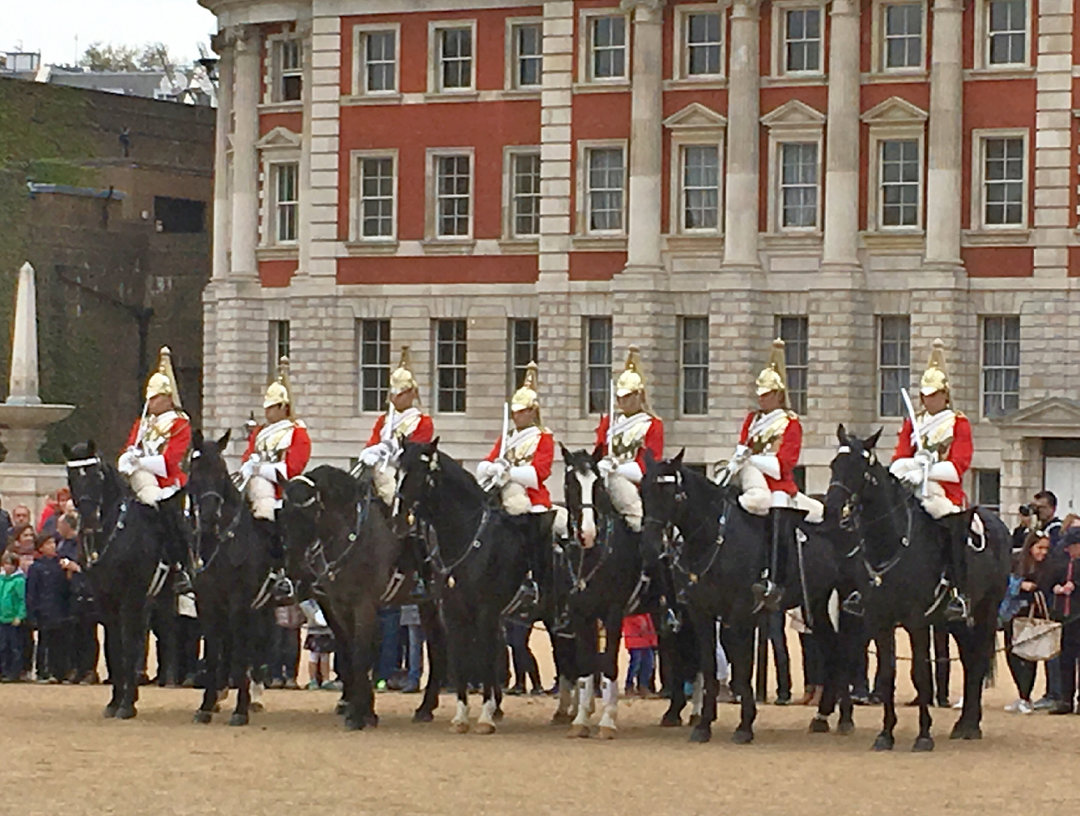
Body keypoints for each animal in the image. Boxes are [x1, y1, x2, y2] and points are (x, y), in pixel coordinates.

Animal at [61, 442, 164, 716]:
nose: (88, 520)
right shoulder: (106, 598)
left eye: (97, 475)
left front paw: (126, 705)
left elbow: (129, 644)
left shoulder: (132, 597)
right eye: (71, 477)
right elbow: (115, 647)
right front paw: (117, 701)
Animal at [184, 433, 272, 725]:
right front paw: (206, 705)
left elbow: (240, 652)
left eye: (221, 472)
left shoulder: (239, 602)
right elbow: (213, 651)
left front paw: (240, 710)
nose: (210, 517)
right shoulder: (208, 603)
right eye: (195, 472)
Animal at [395, 442, 544, 738]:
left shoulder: (486, 612)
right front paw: (461, 716)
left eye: (420, 472)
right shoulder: (453, 612)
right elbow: (459, 656)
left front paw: (486, 715)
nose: (399, 519)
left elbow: (485, 656)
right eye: (398, 471)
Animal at [635, 449, 855, 742]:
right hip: (815, 605)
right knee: (833, 648)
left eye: (671, 492)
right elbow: (709, 666)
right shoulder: (701, 613)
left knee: (843, 649)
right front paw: (704, 725)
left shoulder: (740, 612)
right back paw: (823, 716)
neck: (713, 538)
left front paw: (744, 725)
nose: (649, 547)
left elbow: (741, 665)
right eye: (643, 491)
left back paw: (844, 717)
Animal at [825, 427, 1010, 751]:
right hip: (957, 622)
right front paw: (885, 734)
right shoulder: (880, 620)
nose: (833, 508)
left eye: (858, 468)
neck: (889, 543)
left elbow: (920, 673)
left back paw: (971, 726)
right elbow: (888, 673)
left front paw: (924, 735)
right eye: (834, 464)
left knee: (976, 662)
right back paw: (963, 724)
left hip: (986, 612)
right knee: (969, 659)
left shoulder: (916, 621)